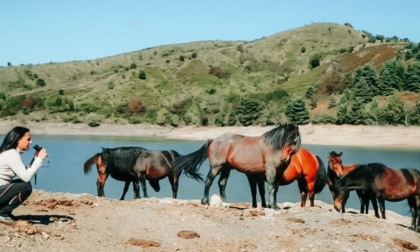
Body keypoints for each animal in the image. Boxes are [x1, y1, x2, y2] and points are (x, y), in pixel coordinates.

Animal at [172, 123, 300, 210]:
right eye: (284, 139)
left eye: (294, 141)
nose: (284, 158)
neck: (272, 147)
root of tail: (213, 140)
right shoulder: (270, 171)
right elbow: (270, 188)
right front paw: (273, 206)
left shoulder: (275, 174)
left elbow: (272, 189)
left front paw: (273, 205)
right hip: (216, 167)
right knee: (208, 181)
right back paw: (205, 201)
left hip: (226, 169)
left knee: (221, 184)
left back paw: (225, 203)